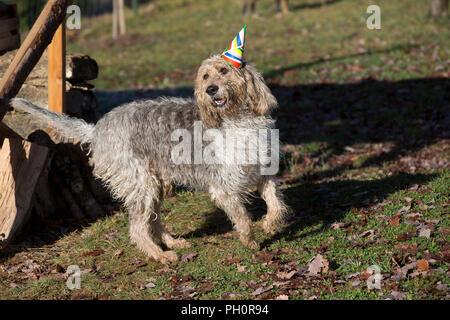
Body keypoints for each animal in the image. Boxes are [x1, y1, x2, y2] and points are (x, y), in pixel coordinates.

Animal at [9, 55, 288, 264]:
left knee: (152, 222)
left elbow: (276, 204)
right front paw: (251, 241)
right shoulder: (223, 189)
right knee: (138, 228)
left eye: (224, 70)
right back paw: (160, 255)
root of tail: (97, 129)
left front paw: (270, 225)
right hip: (142, 185)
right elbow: (243, 218)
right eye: (205, 76)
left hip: (155, 185)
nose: (210, 90)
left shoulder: (263, 173)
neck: (237, 119)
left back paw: (171, 242)